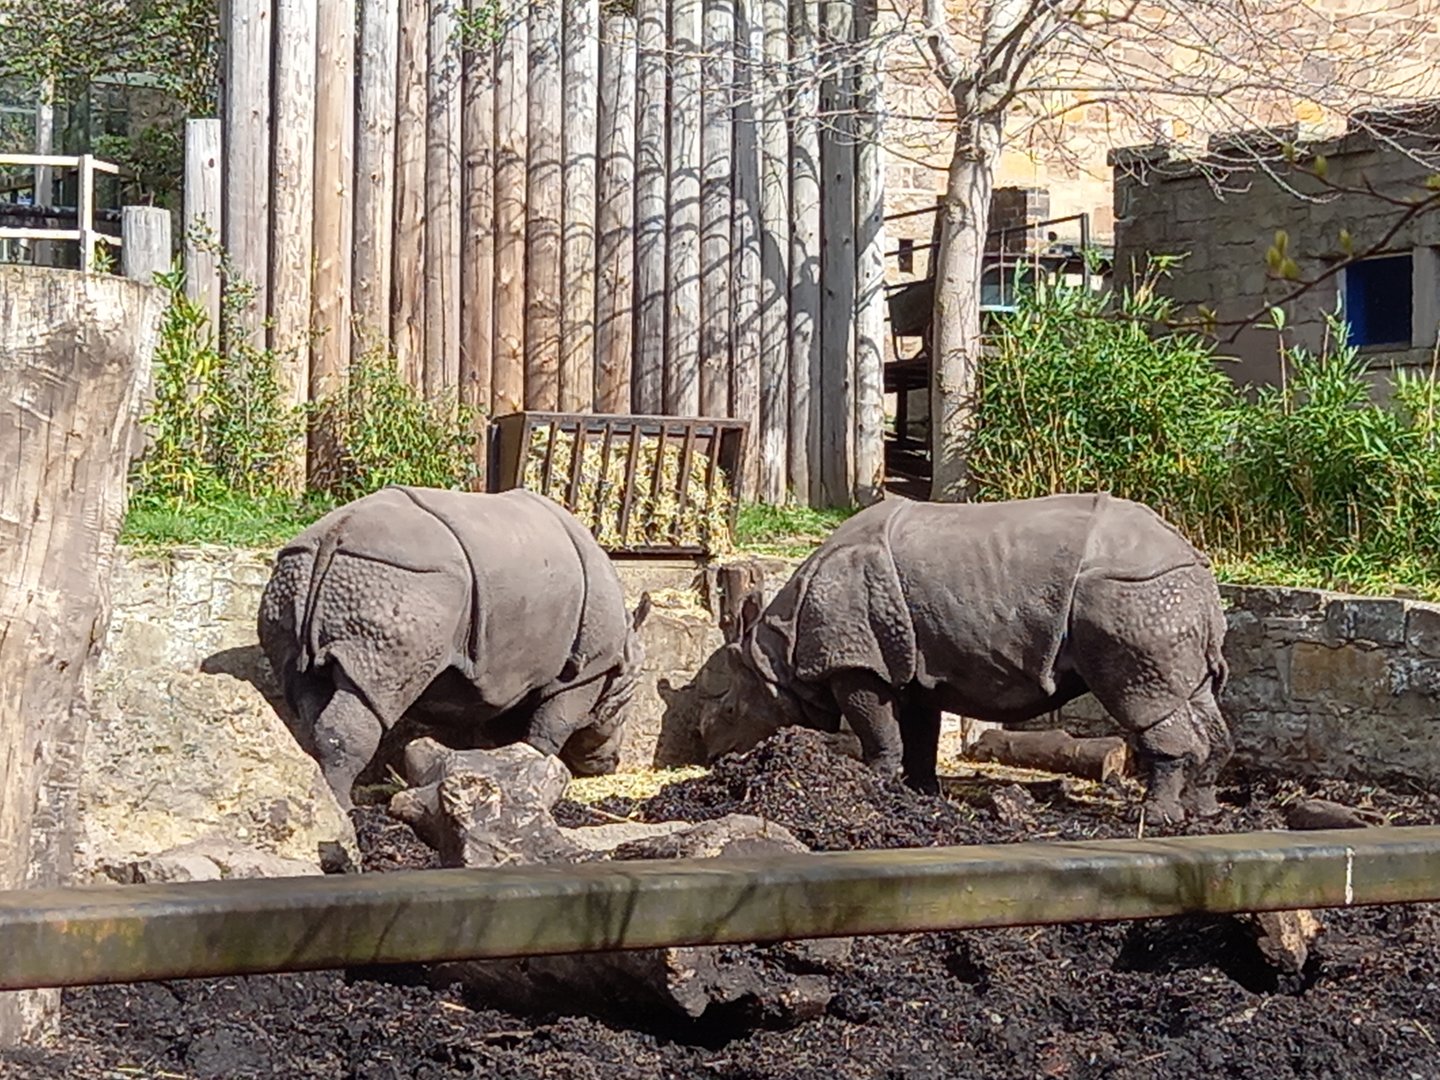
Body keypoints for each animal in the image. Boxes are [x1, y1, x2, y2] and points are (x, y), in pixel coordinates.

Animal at [257, 485, 652, 810]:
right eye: (623, 709)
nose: (610, 763)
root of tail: (334, 535)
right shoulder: (589, 669)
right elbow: (552, 726)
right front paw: (545, 776)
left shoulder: (514, 673)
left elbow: (505, 736)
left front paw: (514, 774)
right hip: (408, 582)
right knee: (373, 691)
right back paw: (345, 810)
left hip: (302, 572)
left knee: (305, 686)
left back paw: (326, 799)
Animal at [698, 492, 1231, 824]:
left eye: (731, 710)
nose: (710, 758)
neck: (775, 651)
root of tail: (1192, 557)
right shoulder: (913, 664)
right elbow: (920, 729)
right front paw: (920, 791)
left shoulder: (858, 663)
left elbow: (876, 726)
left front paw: (872, 783)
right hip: (1166, 594)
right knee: (1197, 698)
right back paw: (1203, 811)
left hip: (1133, 594)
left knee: (1145, 700)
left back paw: (1153, 817)